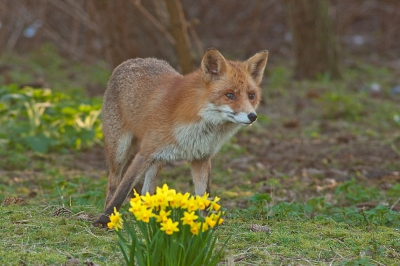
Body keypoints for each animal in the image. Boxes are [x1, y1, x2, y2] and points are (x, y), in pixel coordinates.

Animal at [94, 48, 268, 227]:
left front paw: (204, 224)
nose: (252, 116)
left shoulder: (201, 158)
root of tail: (132, 60)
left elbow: (204, 197)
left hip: (159, 160)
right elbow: (123, 189)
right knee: (113, 183)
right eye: (230, 95)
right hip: (119, 151)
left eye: (251, 95)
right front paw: (103, 219)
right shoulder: (145, 153)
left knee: (147, 190)